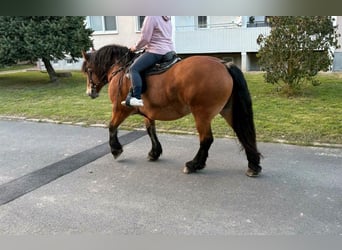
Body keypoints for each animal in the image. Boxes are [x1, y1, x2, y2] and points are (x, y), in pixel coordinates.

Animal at [82, 44, 262, 177]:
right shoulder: (149, 113)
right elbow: (150, 130)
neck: (122, 70)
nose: (90, 92)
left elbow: (112, 126)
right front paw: (155, 152)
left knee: (206, 139)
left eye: (89, 70)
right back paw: (253, 165)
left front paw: (116, 149)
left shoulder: (120, 109)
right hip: (228, 110)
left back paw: (194, 164)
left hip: (202, 114)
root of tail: (223, 64)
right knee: (243, 133)